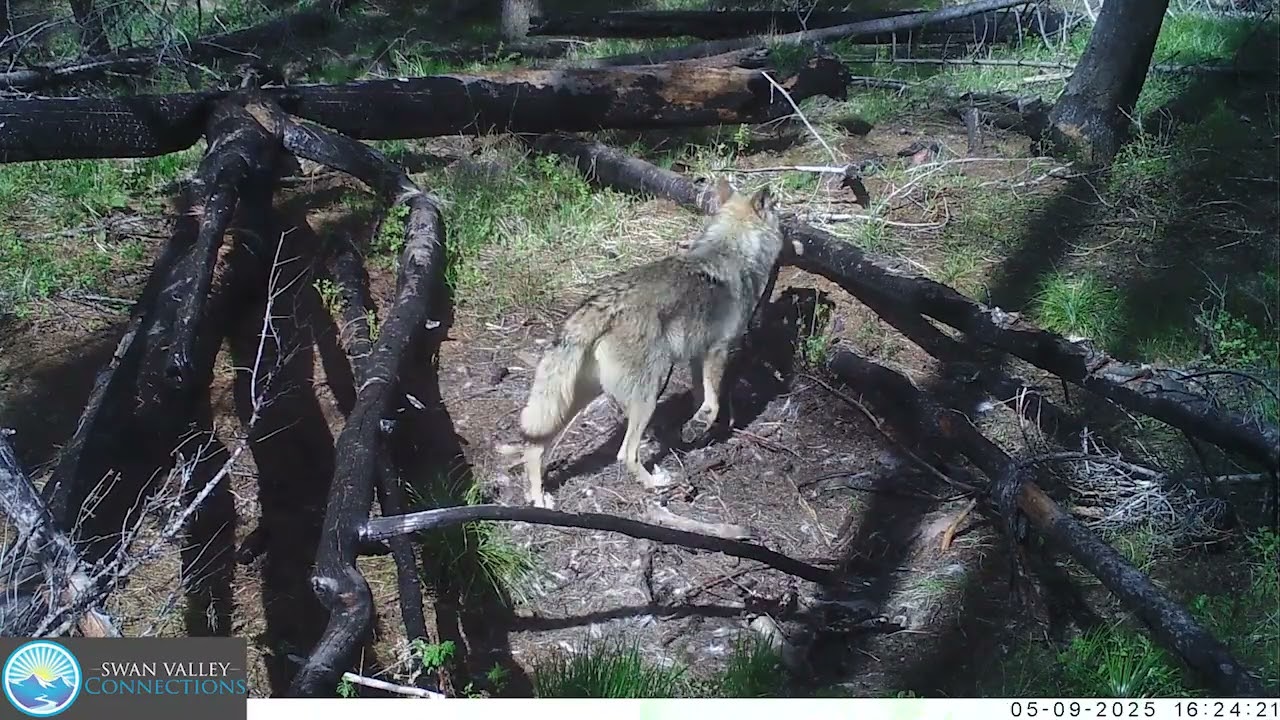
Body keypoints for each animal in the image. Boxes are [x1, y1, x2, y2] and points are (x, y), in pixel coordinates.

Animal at [509, 177, 790, 509]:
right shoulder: (716, 351)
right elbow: (713, 401)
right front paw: (704, 423)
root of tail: (599, 306)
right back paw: (654, 483)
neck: (731, 251)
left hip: (573, 402)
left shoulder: (696, 357)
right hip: (648, 394)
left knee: (536, 448)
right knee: (625, 454)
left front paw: (698, 429)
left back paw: (539, 498)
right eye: (778, 213)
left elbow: (701, 398)